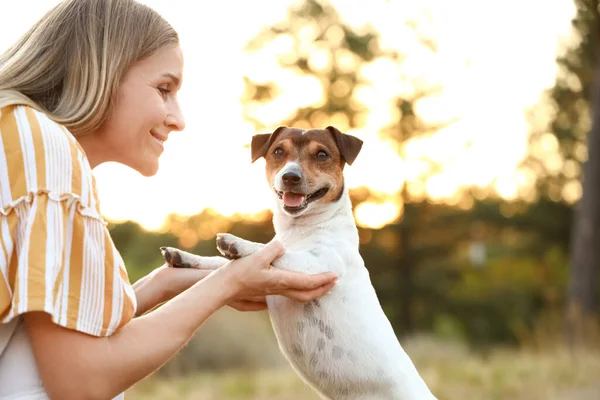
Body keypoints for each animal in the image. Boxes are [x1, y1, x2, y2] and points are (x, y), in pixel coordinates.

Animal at [159, 126, 436, 398]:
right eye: (278, 151)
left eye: (322, 154)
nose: (290, 176)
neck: (299, 229)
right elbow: (219, 263)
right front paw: (184, 257)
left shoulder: (316, 265)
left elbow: (273, 250)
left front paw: (237, 243)